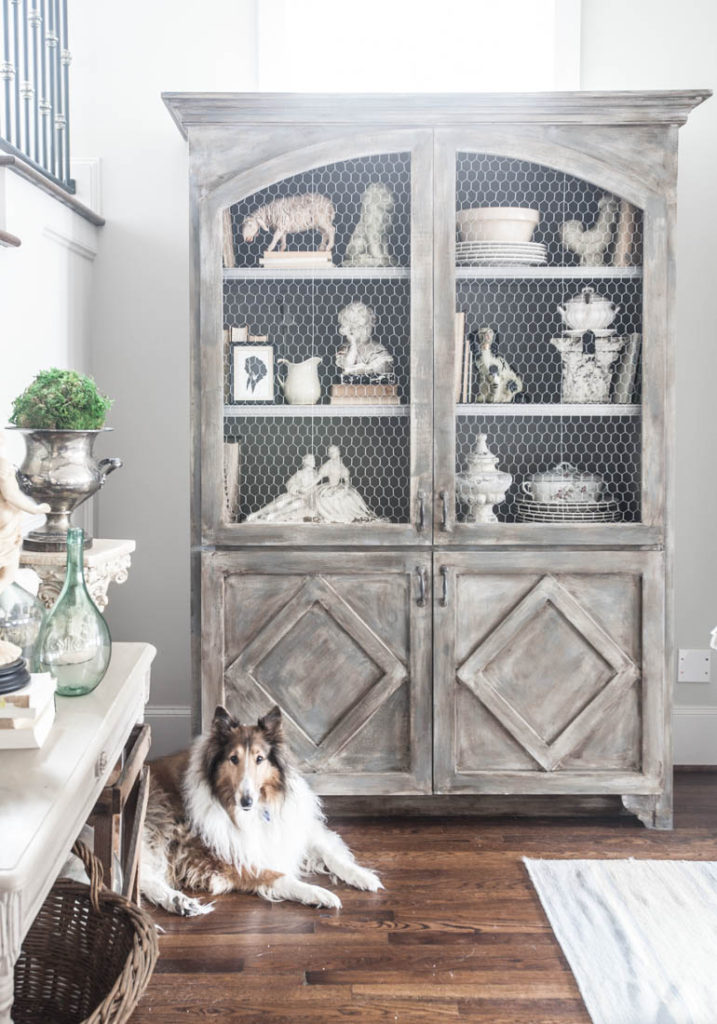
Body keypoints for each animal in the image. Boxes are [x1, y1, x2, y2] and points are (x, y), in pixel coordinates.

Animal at [139, 704, 381, 913]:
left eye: (260, 758)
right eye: (233, 758)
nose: (246, 801)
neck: (256, 810)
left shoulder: (293, 829)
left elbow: (330, 853)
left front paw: (363, 876)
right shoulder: (229, 862)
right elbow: (281, 876)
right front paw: (320, 893)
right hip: (154, 825)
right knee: (142, 876)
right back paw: (177, 900)